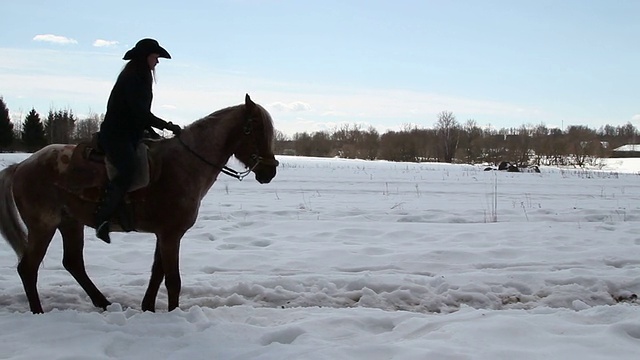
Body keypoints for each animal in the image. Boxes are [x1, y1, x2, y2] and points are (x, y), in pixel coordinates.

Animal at [0, 94, 280, 314]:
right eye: (254, 129)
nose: (270, 171)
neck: (185, 164)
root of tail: (21, 165)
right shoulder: (171, 235)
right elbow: (172, 280)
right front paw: (174, 313)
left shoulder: (164, 234)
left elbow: (157, 273)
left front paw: (148, 307)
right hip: (43, 226)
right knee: (28, 268)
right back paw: (38, 312)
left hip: (70, 223)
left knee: (73, 263)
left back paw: (103, 303)